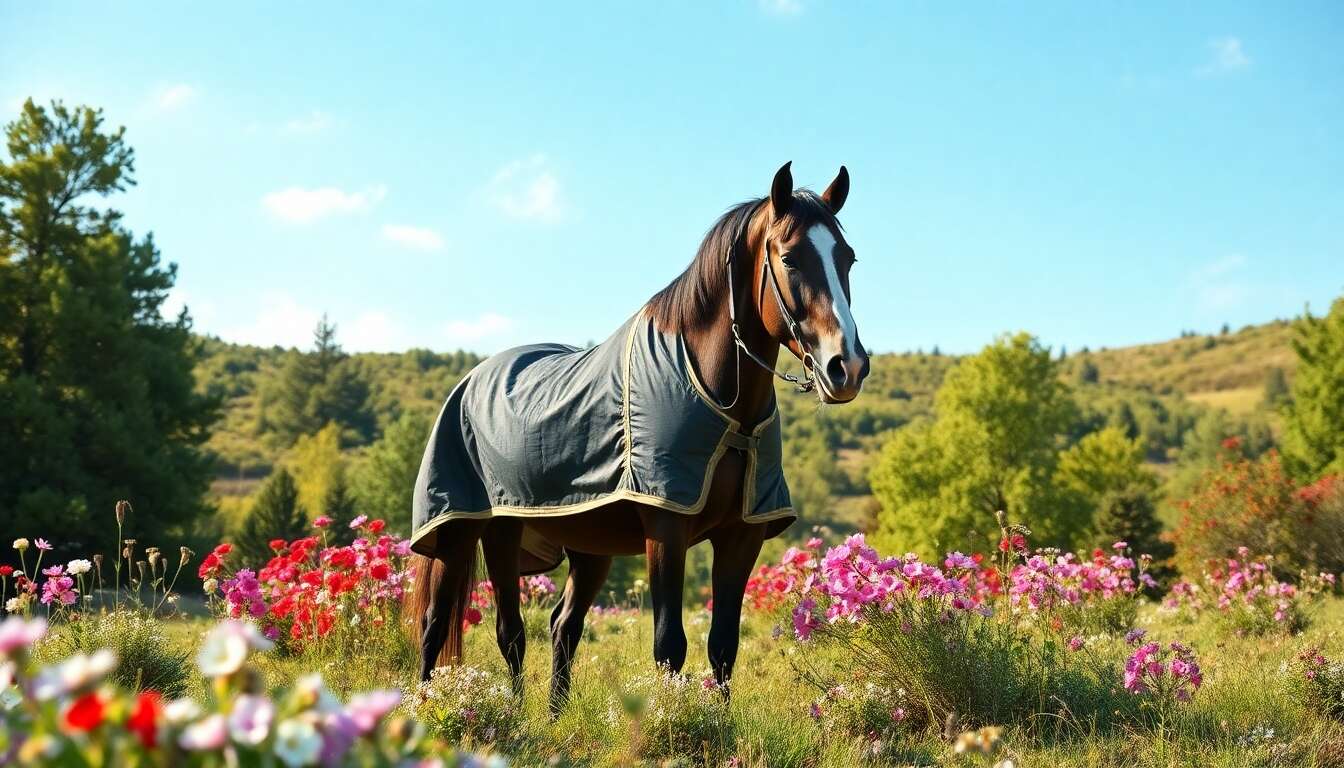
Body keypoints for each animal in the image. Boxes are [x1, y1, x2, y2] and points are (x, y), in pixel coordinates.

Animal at [405, 162, 869, 712]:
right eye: (791, 258)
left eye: (847, 258)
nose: (847, 367)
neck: (724, 407)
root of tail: (471, 380)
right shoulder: (665, 526)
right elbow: (670, 644)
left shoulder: (743, 535)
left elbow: (723, 645)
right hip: (473, 530)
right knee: (460, 627)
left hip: (587, 545)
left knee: (559, 627)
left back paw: (550, 715)